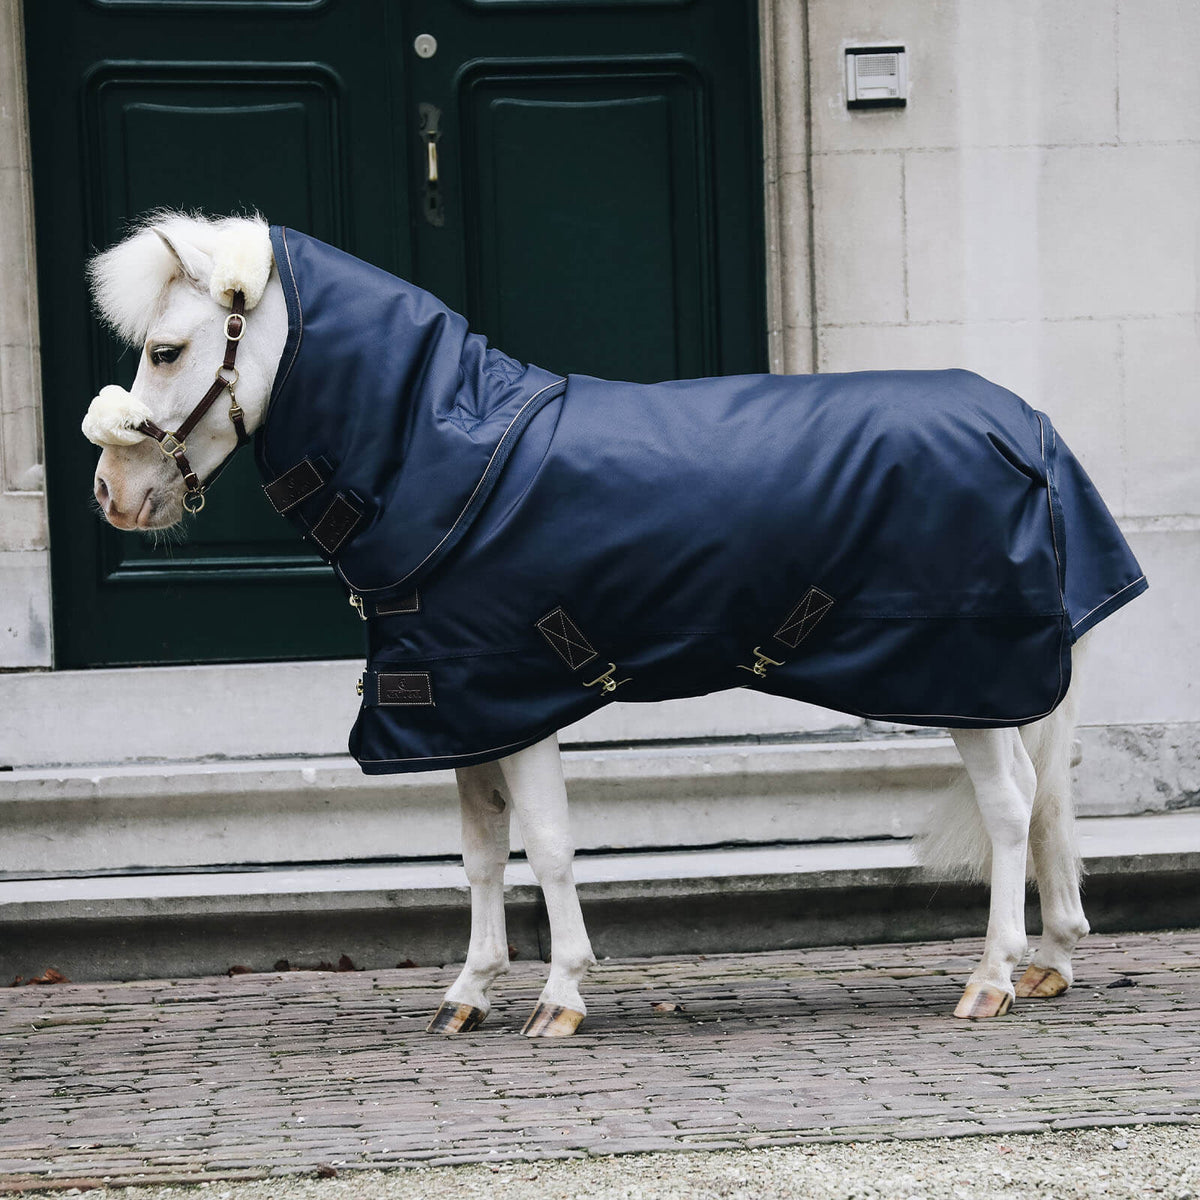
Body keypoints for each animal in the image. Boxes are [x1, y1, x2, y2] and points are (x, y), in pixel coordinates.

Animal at [80, 211, 1138, 1037]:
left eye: (166, 351)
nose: (111, 494)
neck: (448, 462)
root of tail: (1030, 428)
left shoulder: (519, 698)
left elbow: (546, 844)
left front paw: (561, 996)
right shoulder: (462, 710)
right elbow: (478, 854)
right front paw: (468, 993)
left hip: (972, 679)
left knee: (1011, 808)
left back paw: (992, 978)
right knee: (1049, 799)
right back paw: (1052, 962)